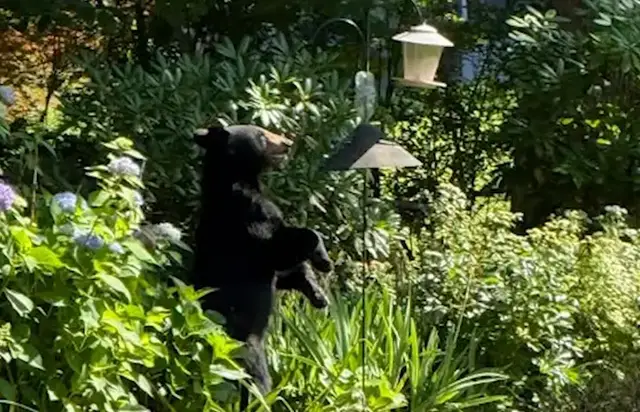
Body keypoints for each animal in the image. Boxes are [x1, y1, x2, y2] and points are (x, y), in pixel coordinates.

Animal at [191, 124, 333, 408]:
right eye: (262, 135)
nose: (288, 143)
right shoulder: (247, 219)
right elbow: (281, 248)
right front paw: (324, 260)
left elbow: (285, 273)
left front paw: (318, 294)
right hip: (244, 347)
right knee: (256, 379)